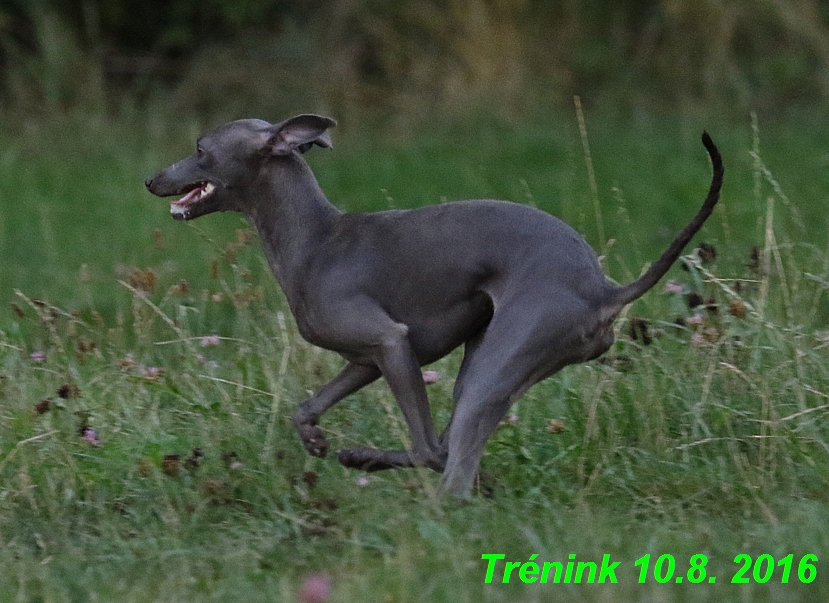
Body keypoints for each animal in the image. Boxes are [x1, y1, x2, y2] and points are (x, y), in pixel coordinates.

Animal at [146, 115, 720, 498]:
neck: (316, 240)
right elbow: (305, 407)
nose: (150, 179)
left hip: (498, 363)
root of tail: (603, 289)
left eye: (200, 148)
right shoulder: (368, 358)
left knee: (442, 460)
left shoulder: (391, 343)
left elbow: (423, 443)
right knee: (448, 449)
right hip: (490, 363)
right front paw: (315, 439)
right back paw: (369, 460)